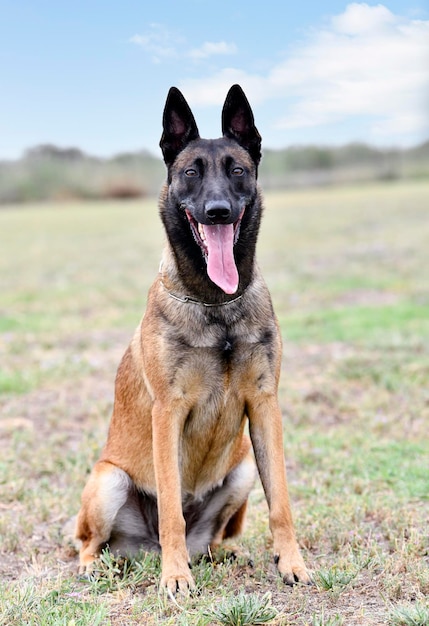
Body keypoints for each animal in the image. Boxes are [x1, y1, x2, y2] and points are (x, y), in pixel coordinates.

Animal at [75, 85, 310, 592]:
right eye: (190, 173)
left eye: (237, 170)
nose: (217, 211)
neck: (215, 304)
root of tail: (140, 550)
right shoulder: (168, 412)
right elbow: (170, 511)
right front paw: (175, 577)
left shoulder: (265, 405)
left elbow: (280, 502)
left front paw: (292, 563)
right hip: (108, 480)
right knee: (92, 540)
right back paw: (100, 566)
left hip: (241, 469)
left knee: (213, 535)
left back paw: (222, 553)